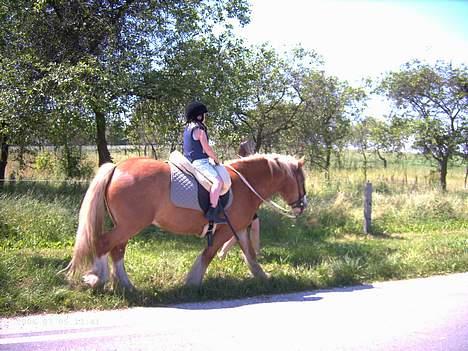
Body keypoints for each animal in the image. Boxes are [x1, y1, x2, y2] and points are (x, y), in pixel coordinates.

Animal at [65, 155, 308, 290]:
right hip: (129, 226)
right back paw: (98, 279)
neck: (245, 184)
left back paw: (125, 284)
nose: (302, 205)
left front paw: (263, 278)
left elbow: (250, 256)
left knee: (117, 251)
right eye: (302, 179)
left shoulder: (238, 228)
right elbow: (209, 253)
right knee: (104, 244)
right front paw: (193, 281)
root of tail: (116, 168)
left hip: (126, 227)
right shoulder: (225, 230)